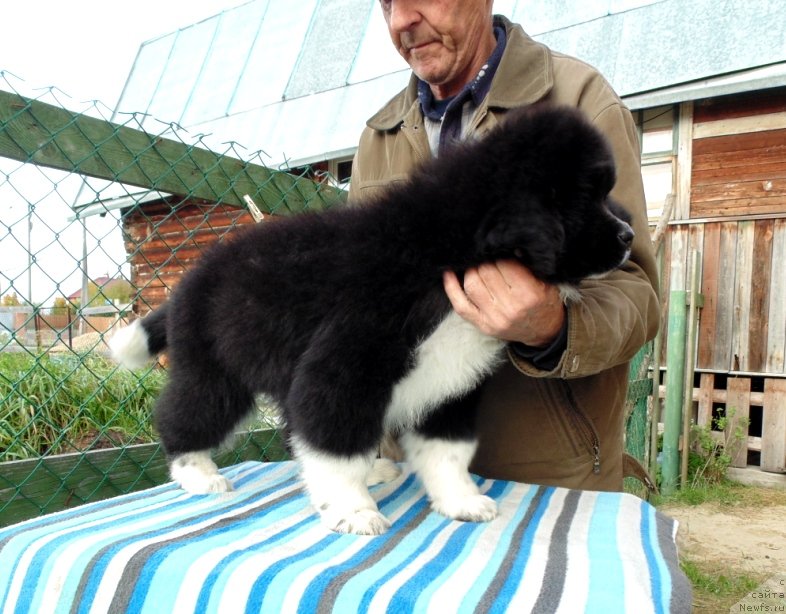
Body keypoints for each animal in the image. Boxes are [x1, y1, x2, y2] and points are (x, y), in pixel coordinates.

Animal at [110, 108, 632, 536]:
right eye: (586, 197)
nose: (629, 236)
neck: (445, 250)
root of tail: (189, 280)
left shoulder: (449, 382)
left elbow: (448, 450)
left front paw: (459, 501)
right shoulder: (341, 370)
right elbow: (337, 449)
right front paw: (353, 511)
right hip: (214, 372)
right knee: (185, 414)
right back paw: (197, 475)